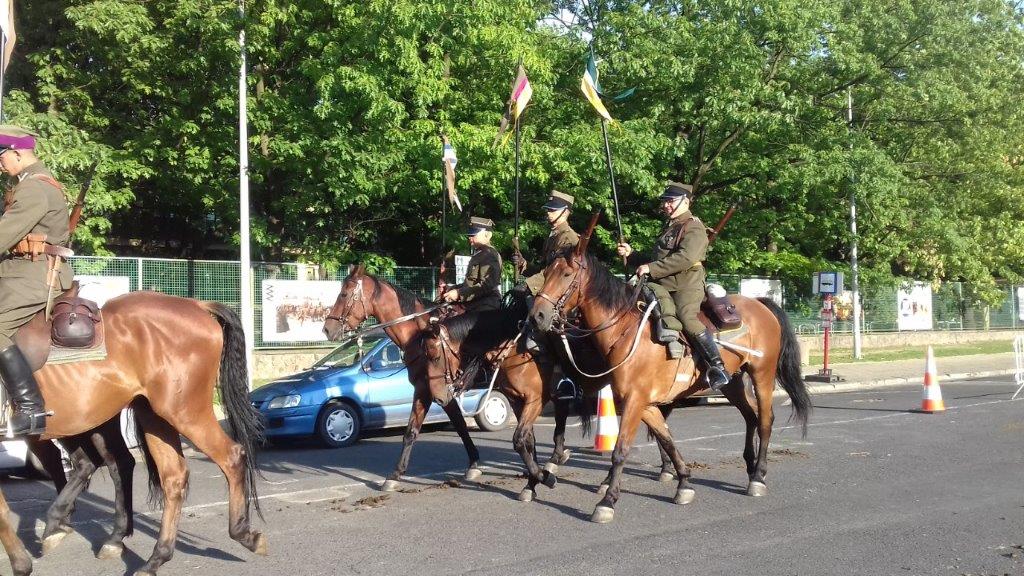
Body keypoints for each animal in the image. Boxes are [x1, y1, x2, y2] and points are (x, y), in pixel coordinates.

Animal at [0, 291, 268, 573]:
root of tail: (197, 304)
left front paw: (21, 564)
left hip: (183, 412)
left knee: (231, 456)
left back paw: (242, 533)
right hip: (149, 417)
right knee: (169, 475)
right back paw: (154, 557)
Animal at [528, 235, 806, 522]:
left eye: (566, 274)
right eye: (547, 273)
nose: (537, 316)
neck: (625, 331)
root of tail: (760, 303)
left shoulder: (635, 401)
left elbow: (621, 450)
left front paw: (607, 501)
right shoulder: (645, 404)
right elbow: (668, 440)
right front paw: (683, 483)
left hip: (762, 375)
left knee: (765, 420)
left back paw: (758, 476)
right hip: (734, 382)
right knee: (750, 416)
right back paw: (750, 467)